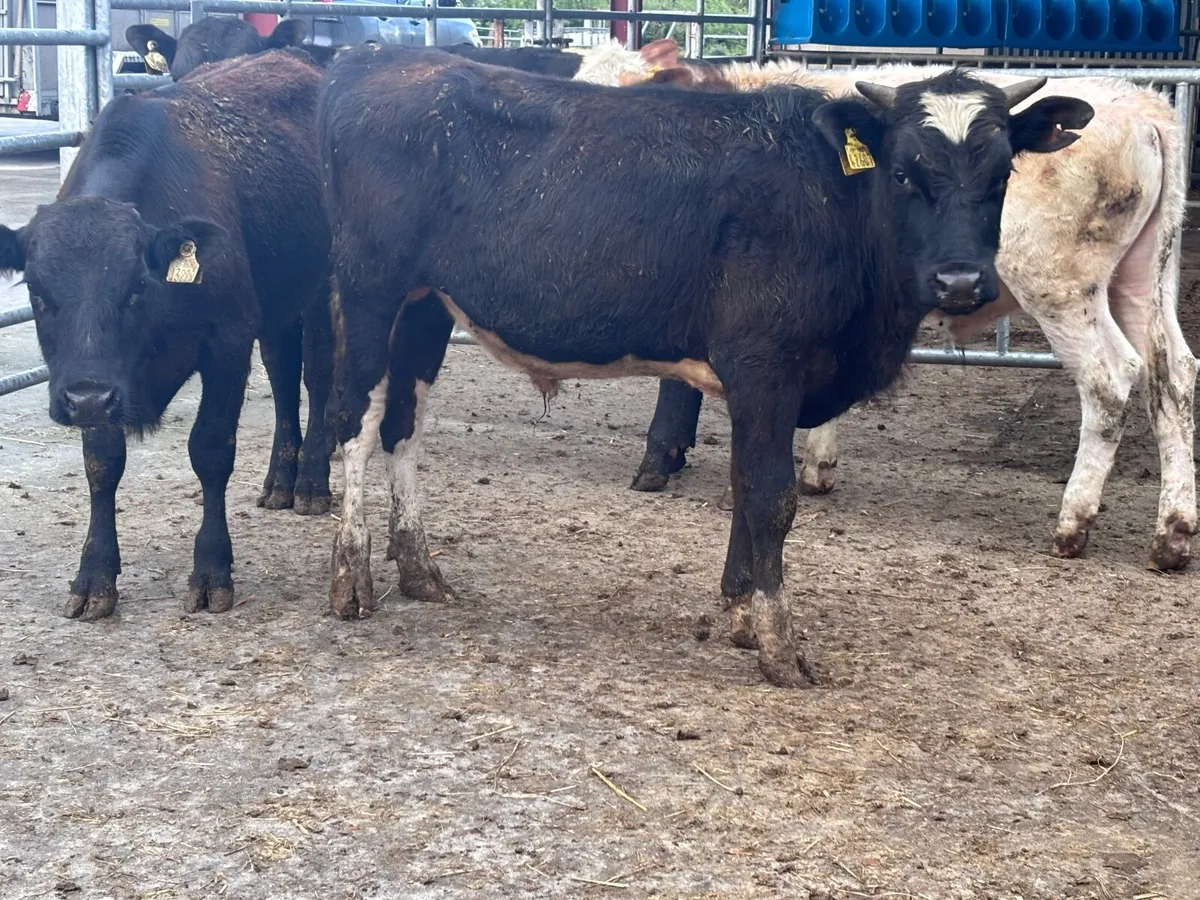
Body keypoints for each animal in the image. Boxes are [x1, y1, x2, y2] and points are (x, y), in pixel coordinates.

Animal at [0, 50, 334, 620]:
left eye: (136, 288)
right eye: (38, 296)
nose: (85, 399)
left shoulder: (227, 342)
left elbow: (211, 450)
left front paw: (212, 569)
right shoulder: (102, 381)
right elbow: (101, 463)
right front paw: (94, 575)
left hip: (329, 281)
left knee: (318, 370)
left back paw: (312, 480)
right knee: (284, 373)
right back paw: (280, 480)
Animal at [317, 45, 1091, 686]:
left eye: (1002, 173)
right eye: (903, 172)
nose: (960, 281)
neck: (831, 202)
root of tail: (375, 62)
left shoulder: (760, 383)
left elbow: (745, 488)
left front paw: (743, 617)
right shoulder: (764, 365)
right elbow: (771, 497)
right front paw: (779, 645)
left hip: (426, 306)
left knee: (405, 424)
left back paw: (420, 569)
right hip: (370, 291)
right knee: (354, 419)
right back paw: (351, 576)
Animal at [597, 46, 1196, 574]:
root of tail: (1141, 104)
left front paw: (665, 462)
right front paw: (815, 466)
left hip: (1060, 284)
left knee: (1110, 378)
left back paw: (1073, 524)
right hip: (1143, 280)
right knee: (1174, 378)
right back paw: (1172, 533)